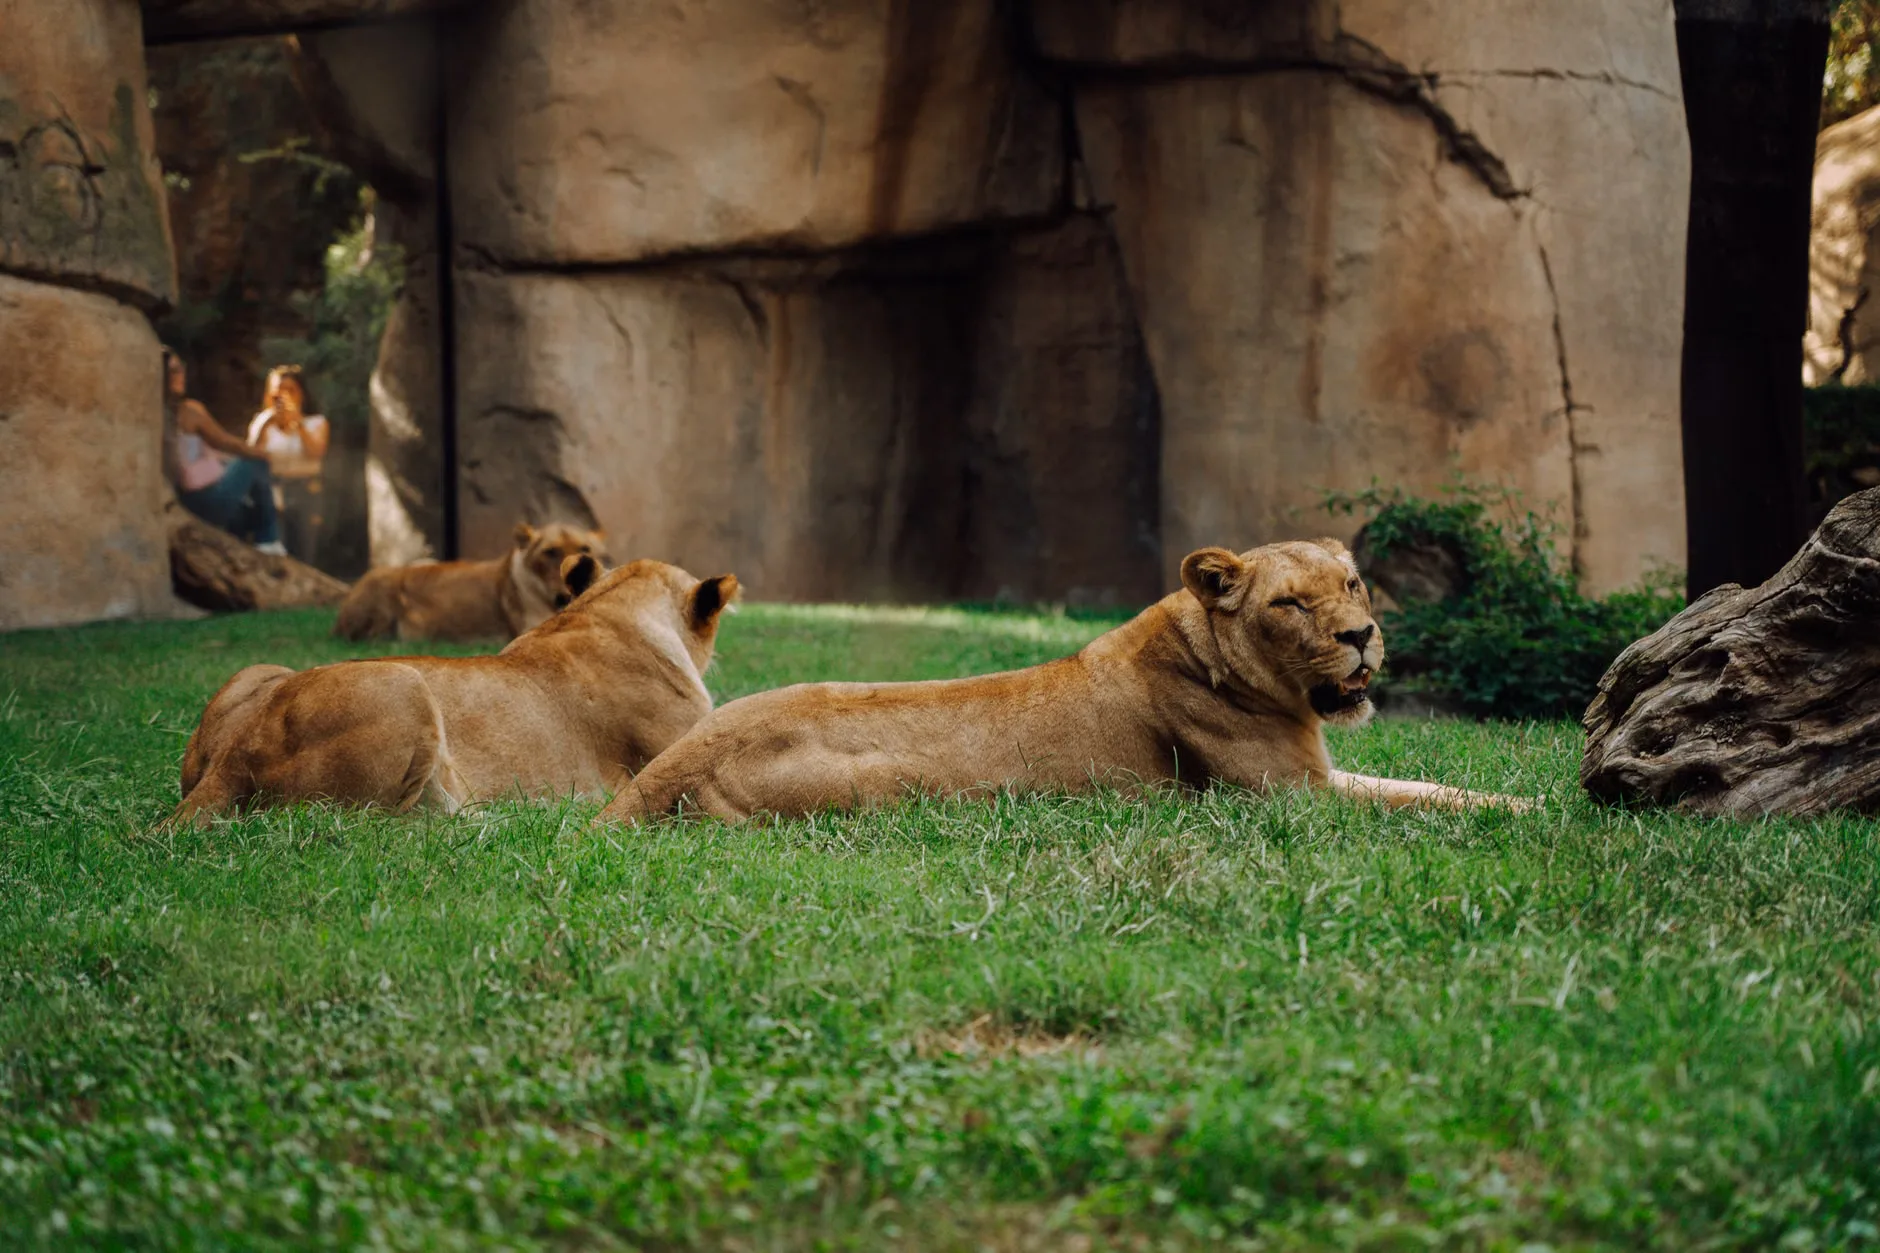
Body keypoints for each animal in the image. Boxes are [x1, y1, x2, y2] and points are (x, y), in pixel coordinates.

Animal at [593, 539, 1528, 827]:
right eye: (1291, 603)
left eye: (1354, 584)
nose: (1360, 637)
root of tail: (670, 767)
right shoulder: (1292, 797)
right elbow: (1414, 801)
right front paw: (1527, 808)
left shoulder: (1321, 776)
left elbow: (1423, 783)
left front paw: (1524, 798)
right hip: (887, 784)